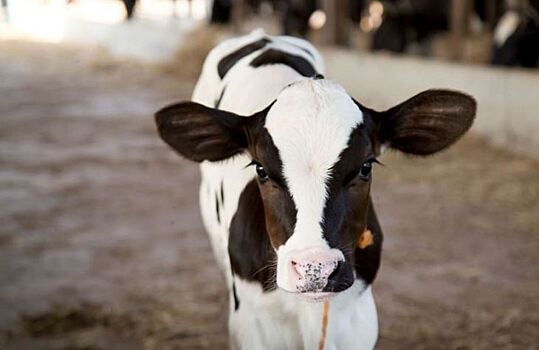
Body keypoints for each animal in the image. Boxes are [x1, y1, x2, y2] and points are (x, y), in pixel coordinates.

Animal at [156, 30, 476, 350]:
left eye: (365, 166)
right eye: (261, 169)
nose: (316, 268)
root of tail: (263, 36)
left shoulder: (359, 318)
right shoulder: (252, 323)